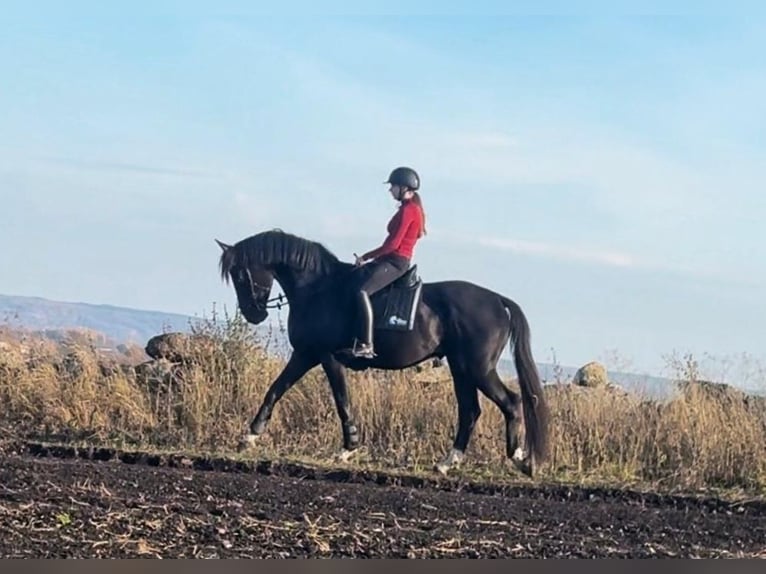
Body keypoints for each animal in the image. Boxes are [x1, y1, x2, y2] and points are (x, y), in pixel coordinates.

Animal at [216, 228, 552, 476]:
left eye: (241, 275)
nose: (253, 315)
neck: (318, 289)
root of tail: (497, 300)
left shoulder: (325, 357)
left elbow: (341, 400)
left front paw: (348, 448)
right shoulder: (306, 355)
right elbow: (275, 389)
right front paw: (250, 436)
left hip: (478, 368)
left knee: (510, 402)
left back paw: (520, 459)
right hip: (461, 369)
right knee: (470, 411)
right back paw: (447, 463)